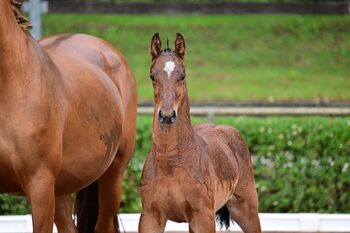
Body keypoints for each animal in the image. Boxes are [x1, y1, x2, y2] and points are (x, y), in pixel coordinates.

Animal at [138, 33, 262, 233]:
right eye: (152, 75)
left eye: (182, 75)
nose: (167, 115)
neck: (170, 163)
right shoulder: (150, 217)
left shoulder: (203, 217)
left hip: (246, 209)